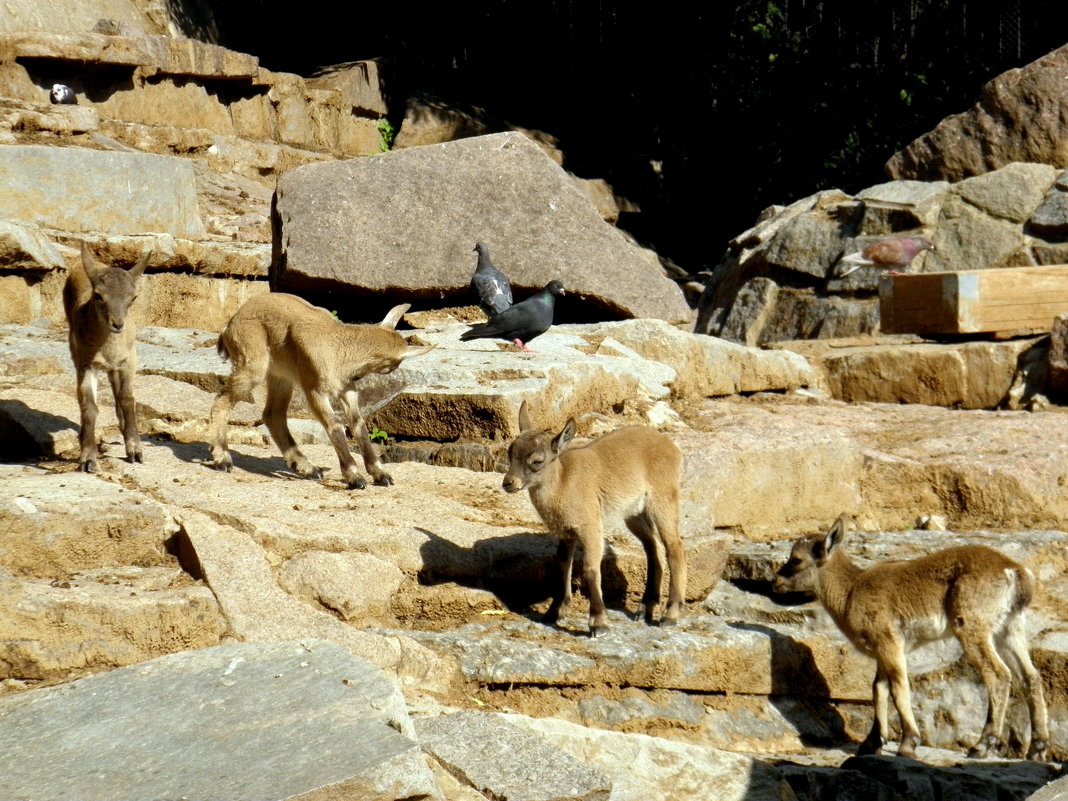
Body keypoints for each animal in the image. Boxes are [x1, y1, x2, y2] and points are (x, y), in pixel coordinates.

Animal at [207, 292, 429, 489]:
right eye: (393, 366)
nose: (359, 377)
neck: (338, 348)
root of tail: (230, 324)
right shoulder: (315, 390)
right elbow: (335, 426)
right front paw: (354, 477)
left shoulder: (346, 389)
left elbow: (358, 425)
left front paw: (381, 474)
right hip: (253, 366)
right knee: (223, 399)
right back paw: (222, 458)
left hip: (282, 376)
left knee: (273, 415)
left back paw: (308, 468)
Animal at [501, 403, 687, 636]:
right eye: (510, 453)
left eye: (537, 461)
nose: (508, 483)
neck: (563, 482)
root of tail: (673, 449)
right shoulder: (566, 531)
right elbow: (563, 564)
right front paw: (554, 612)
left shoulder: (590, 526)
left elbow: (590, 569)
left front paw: (599, 623)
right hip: (634, 513)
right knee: (653, 548)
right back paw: (646, 606)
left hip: (663, 500)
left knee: (674, 547)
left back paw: (670, 614)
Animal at [773, 516, 1046, 760]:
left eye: (796, 559)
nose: (776, 581)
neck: (850, 592)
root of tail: (1014, 571)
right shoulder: (882, 651)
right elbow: (878, 688)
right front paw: (872, 743)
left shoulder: (889, 642)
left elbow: (898, 686)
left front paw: (908, 743)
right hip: (1009, 629)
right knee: (1030, 676)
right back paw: (1037, 748)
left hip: (972, 627)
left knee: (998, 674)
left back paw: (982, 745)